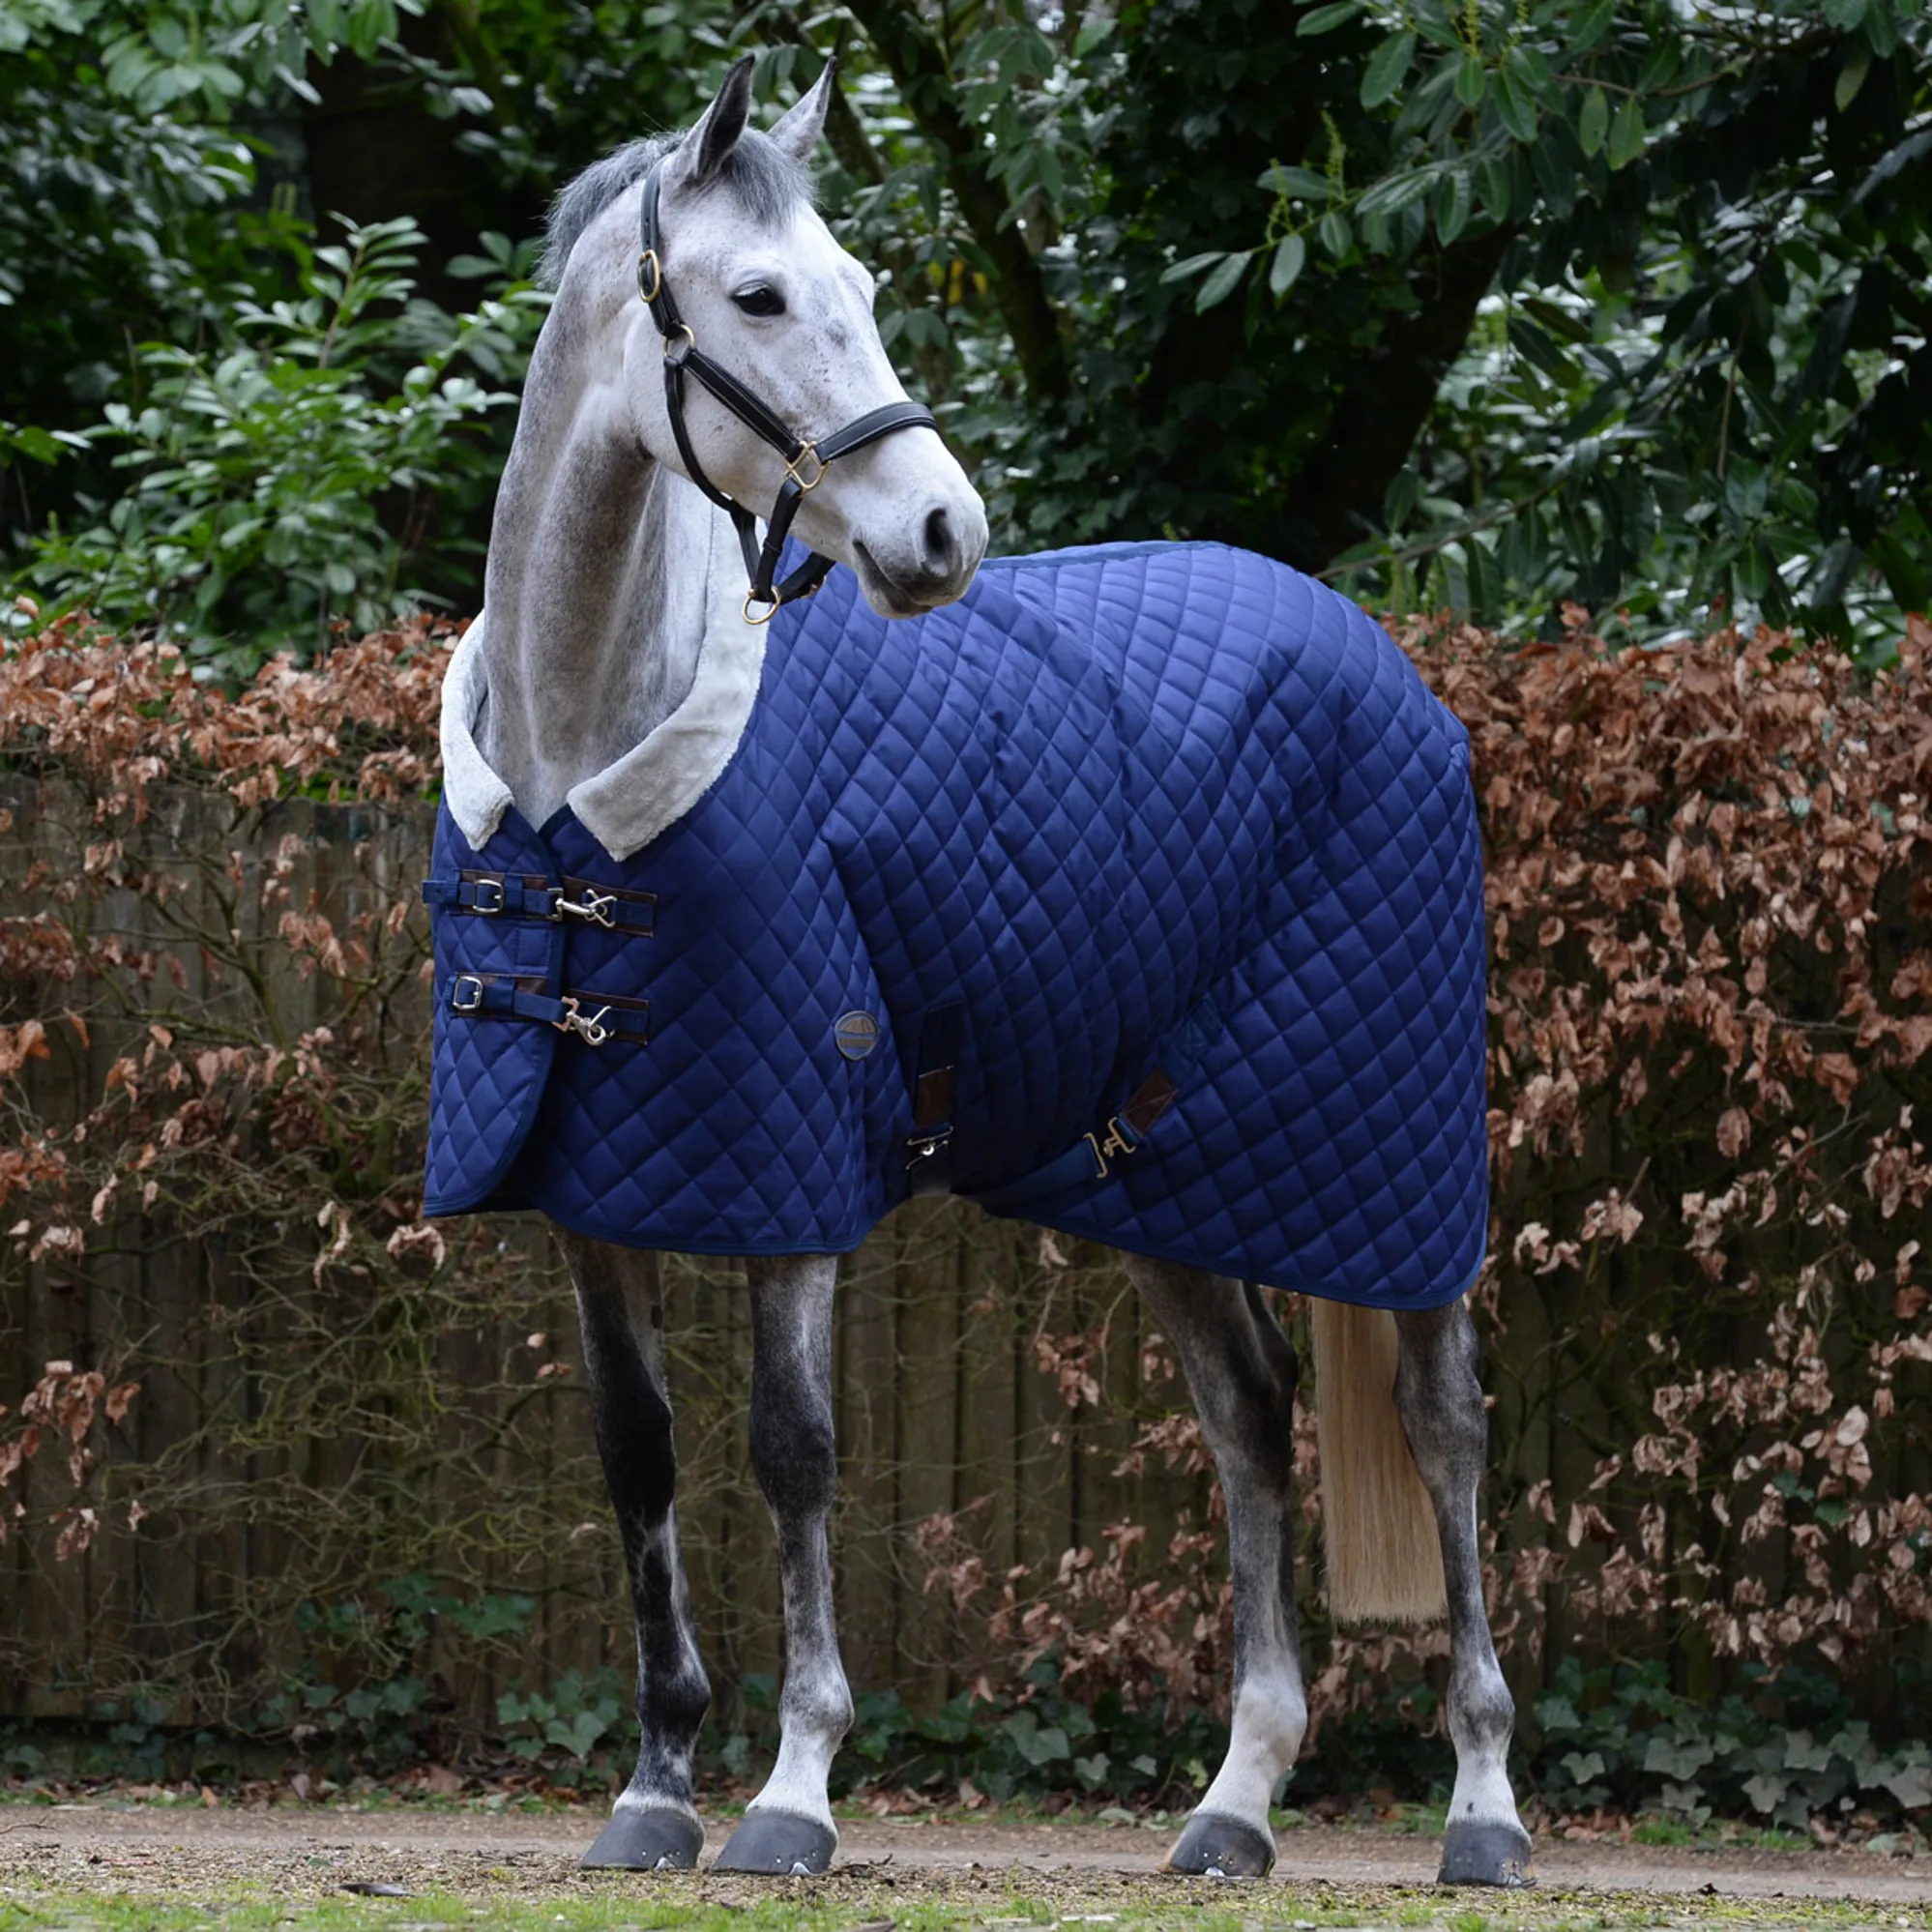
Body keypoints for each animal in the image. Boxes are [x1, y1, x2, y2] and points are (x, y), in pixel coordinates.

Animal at [421, 53, 1534, 1888]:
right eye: (757, 296)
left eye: (868, 288)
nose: (942, 529)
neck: (594, 747)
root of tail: (1377, 657)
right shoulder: (593, 1185)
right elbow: (638, 1453)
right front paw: (654, 1783)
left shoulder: (788, 1169)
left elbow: (791, 1449)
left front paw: (793, 1789)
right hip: (1165, 1167)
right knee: (1248, 1416)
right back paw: (1233, 1800)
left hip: (1385, 1159)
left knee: (1441, 1428)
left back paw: (1483, 1808)